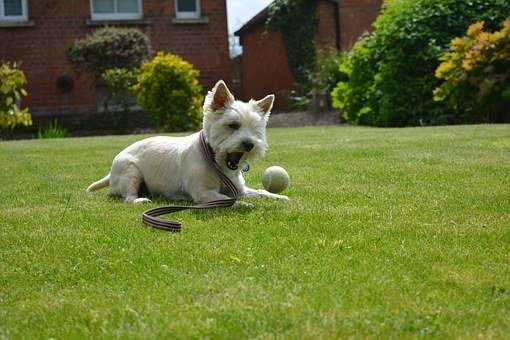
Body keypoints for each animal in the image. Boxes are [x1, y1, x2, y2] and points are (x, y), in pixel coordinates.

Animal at [85, 79, 288, 205]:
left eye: (256, 129)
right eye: (233, 125)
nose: (249, 145)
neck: (215, 161)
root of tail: (111, 173)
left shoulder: (240, 189)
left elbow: (261, 192)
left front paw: (280, 198)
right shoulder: (203, 192)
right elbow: (228, 199)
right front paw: (243, 204)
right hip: (131, 173)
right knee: (128, 196)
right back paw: (139, 199)